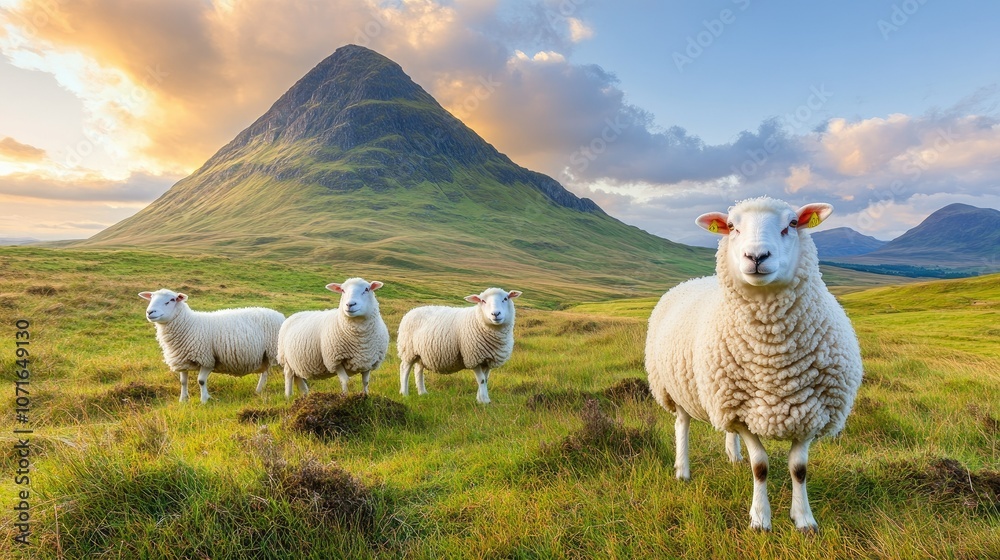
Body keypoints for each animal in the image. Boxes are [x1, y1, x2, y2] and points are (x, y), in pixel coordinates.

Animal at [138, 289, 285, 403]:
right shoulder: (182, 360)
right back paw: (259, 390)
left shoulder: (207, 359)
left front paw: (204, 400)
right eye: (151, 298)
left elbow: (201, 381)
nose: (150, 312)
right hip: (266, 355)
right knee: (265, 372)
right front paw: (183, 400)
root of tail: (279, 314)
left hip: (277, 351)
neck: (188, 325)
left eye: (172, 300)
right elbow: (183, 382)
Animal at [645, 196, 863, 532]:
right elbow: (760, 466)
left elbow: (799, 469)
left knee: (726, 431)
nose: (756, 256)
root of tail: (693, 280)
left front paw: (803, 519)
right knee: (682, 424)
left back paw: (732, 456)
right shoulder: (742, 413)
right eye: (732, 226)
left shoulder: (810, 411)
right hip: (675, 388)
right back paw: (683, 470)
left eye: (792, 224)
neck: (773, 358)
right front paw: (760, 519)